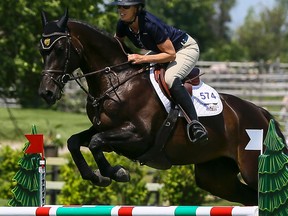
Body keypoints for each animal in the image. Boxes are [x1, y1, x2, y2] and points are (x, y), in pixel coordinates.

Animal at [37, 10, 286, 206]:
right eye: (42, 51)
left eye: (60, 49)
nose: (45, 93)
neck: (117, 81)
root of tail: (263, 114)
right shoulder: (104, 130)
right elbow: (75, 142)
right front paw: (98, 177)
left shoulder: (138, 136)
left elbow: (96, 142)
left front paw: (117, 172)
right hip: (216, 177)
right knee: (251, 198)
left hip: (252, 169)